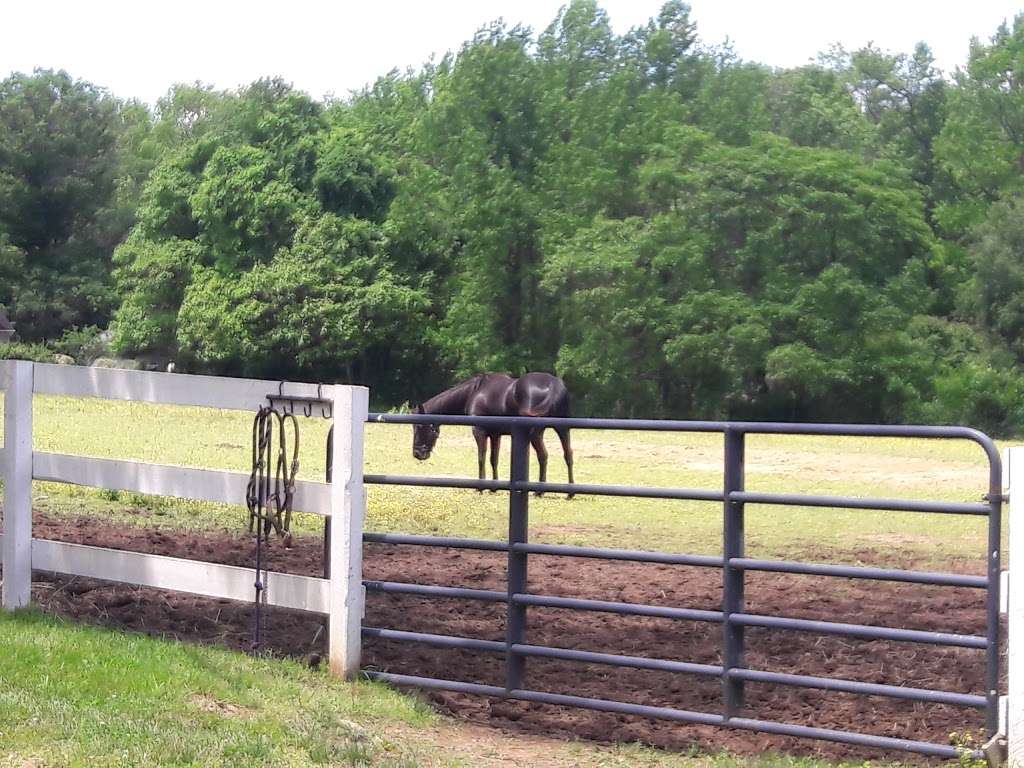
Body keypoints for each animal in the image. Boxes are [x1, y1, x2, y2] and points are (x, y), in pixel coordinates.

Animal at [413, 372, 577, 499]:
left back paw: (539, 492)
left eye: (419, 426)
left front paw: (480, 487)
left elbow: (481, 458)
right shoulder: (495, 434)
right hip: (562, 429)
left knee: (543, 455)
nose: (417, 453)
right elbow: (494, 459)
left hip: (536, 434)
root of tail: (554, 386)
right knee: (567, 454)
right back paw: (569, 493)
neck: (475, 391)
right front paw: (493, 487)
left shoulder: (479, 431)